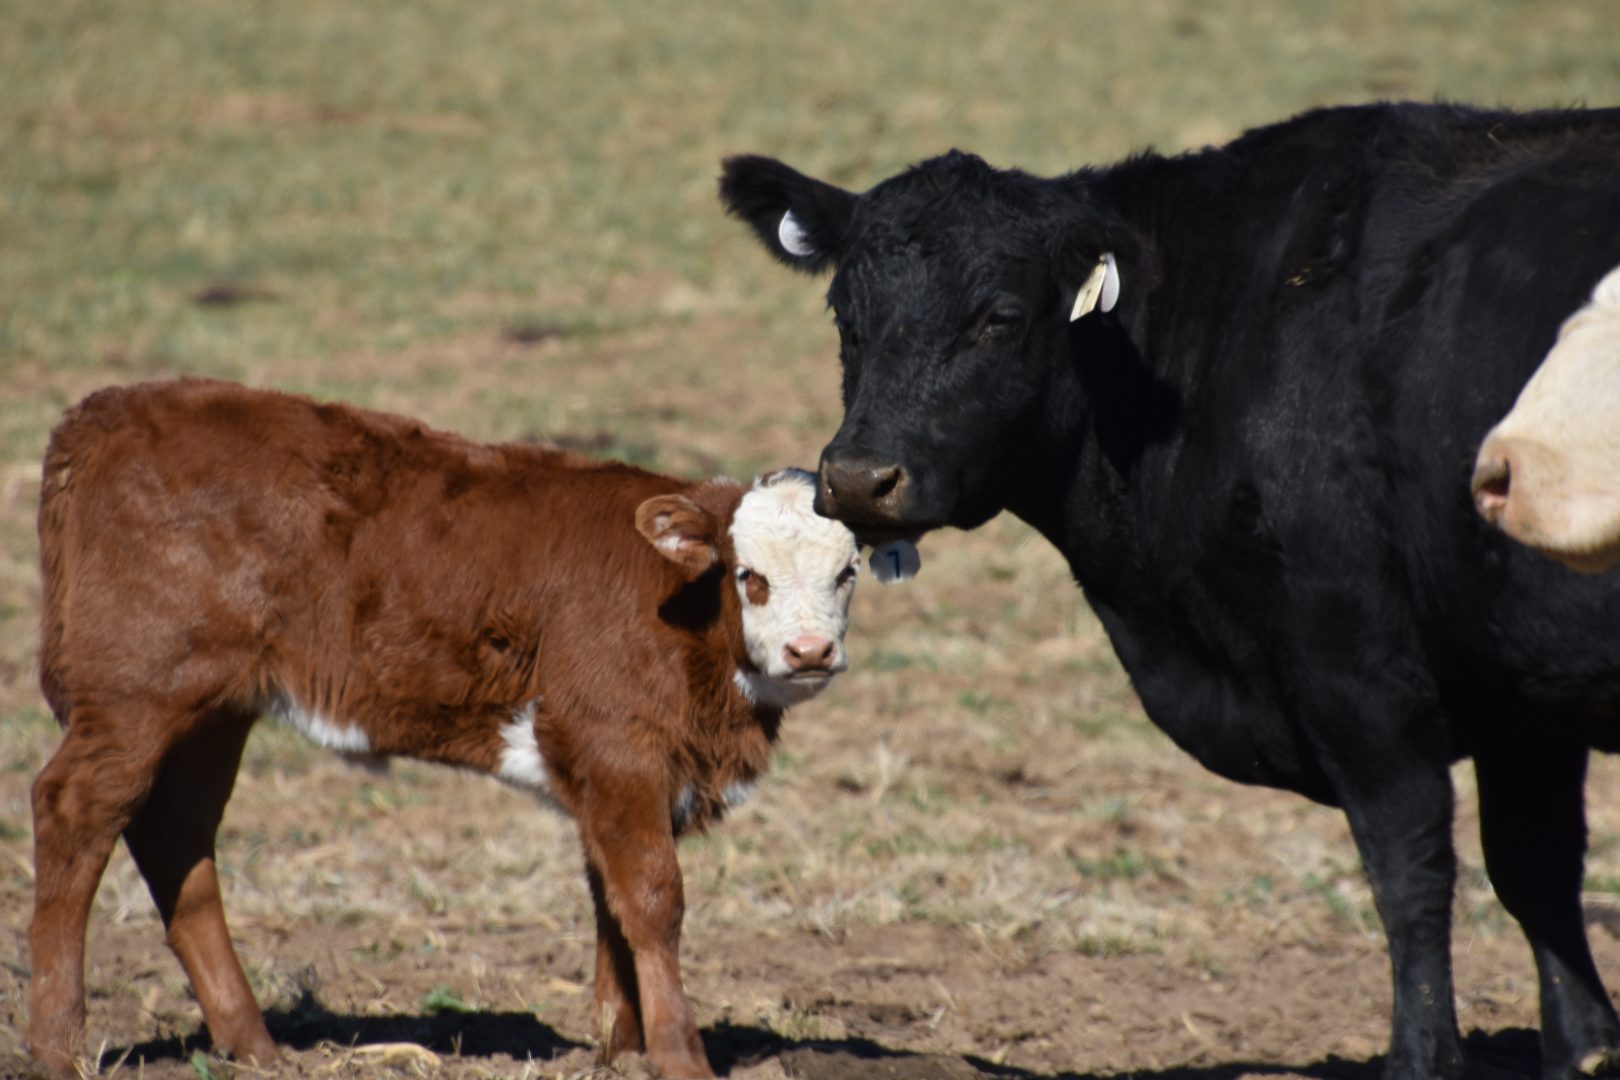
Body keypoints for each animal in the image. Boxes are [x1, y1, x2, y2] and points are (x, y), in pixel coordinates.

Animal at [28, 379, 861, 1080]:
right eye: (749, 575)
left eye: (848, 572)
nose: (810, 651)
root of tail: (105, 412)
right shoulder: (617, 748)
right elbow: (654, 899)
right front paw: (679, 1055)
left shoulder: (610, 772)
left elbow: (610, 899)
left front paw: (620, 1047)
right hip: (137, 691)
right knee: (75, 811)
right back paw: (57, 1046)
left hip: (213, 711)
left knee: (177, 834)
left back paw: (255, 1045)